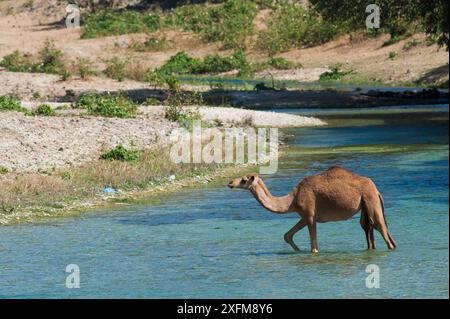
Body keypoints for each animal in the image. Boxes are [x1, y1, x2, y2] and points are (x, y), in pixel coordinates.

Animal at [229, 166, 398, 254]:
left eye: (244, 180)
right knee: (368, 227)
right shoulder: (305, 215)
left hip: (371, 199)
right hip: (365, 205)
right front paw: (298, 251)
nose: (230, 182)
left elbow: (314, 247)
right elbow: (287, 235)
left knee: (382, 229)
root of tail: (376, 189)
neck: (292, 200)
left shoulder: (309, 214)